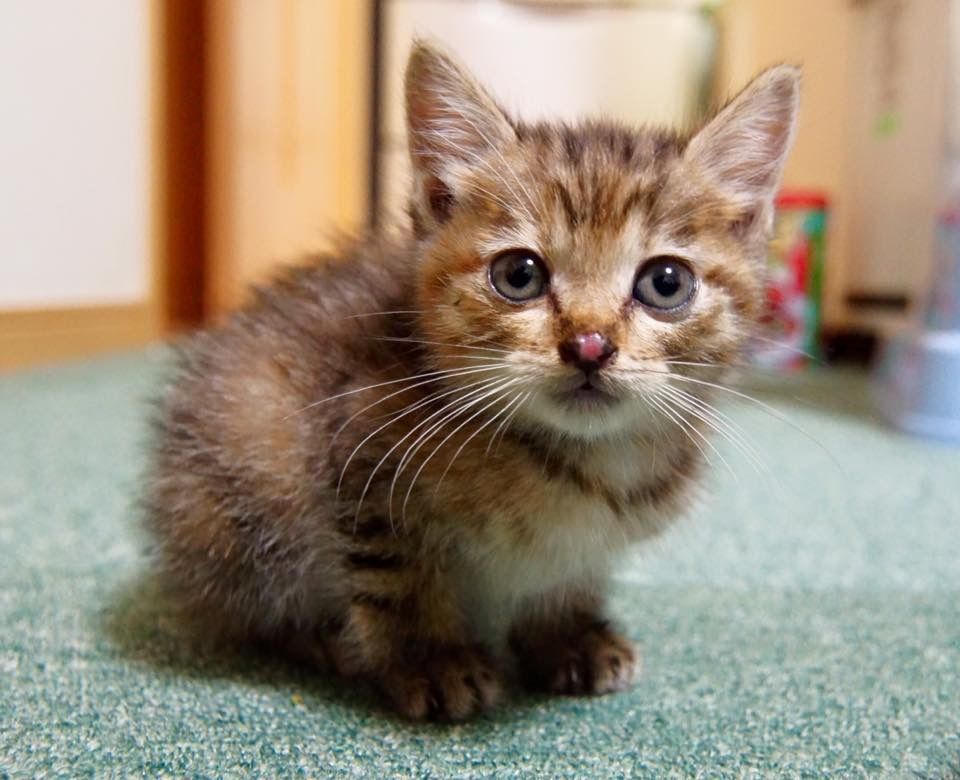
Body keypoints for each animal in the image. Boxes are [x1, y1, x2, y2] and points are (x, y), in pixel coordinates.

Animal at [144, 41, 799, 721]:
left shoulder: (583, 544)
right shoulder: (362, 452)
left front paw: (564, 633)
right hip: (241, 477)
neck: (583, 462)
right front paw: (432, 658)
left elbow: (569, 571)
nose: (589, 345)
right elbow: (398, 576)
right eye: (519, 274)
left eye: (666, 283)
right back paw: (322, 640)